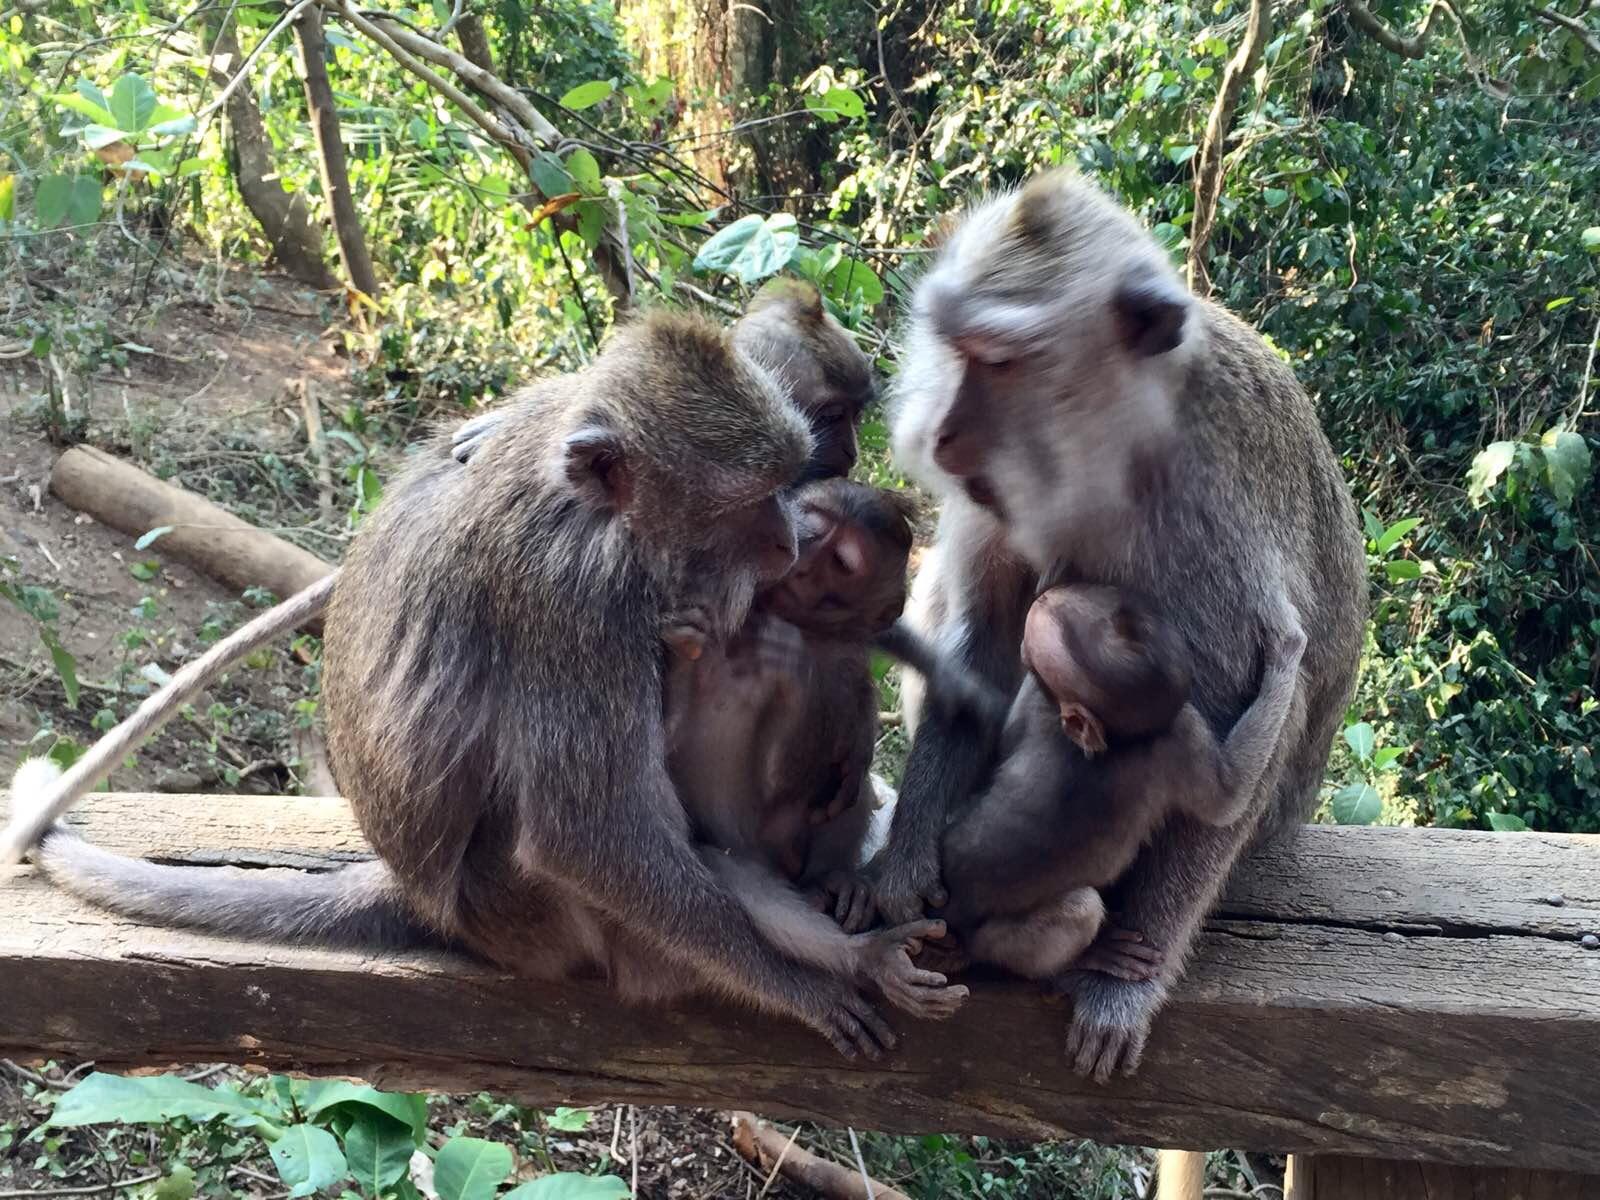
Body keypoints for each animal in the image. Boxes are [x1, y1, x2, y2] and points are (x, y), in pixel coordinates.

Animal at [6, 310, 921, 1062]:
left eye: (792, 480)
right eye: (751, 499)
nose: (787, 544)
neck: (593, 505)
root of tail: (424, 897)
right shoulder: (577, 593)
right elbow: (585, 835)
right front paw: (791, 986)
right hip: (539, 915)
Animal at [934, 582, 1305, 985]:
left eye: (1033, 656)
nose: (1045, 597)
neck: (1115, 739)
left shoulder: (1168, 728)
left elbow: (1229, 800)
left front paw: (1285, 656)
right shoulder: (1179, 730)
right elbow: (1228, 799)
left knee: (1075, 910)